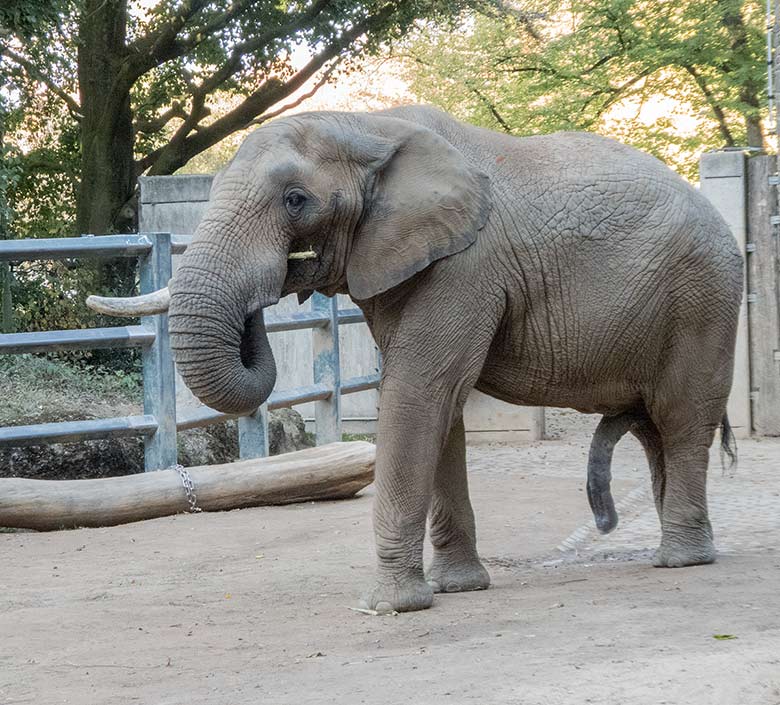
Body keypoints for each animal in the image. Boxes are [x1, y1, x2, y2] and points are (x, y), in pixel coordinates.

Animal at [91, 103, 744, 612]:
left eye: (296, 200)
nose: (272, 285)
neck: (366, 124)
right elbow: (440, 409)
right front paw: (458, 589)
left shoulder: (465, 264)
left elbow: (419, 392)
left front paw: (387, 607)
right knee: (655, 427)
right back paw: (682, 549)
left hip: (705, 296)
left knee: (682, 418)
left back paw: (680, 560)